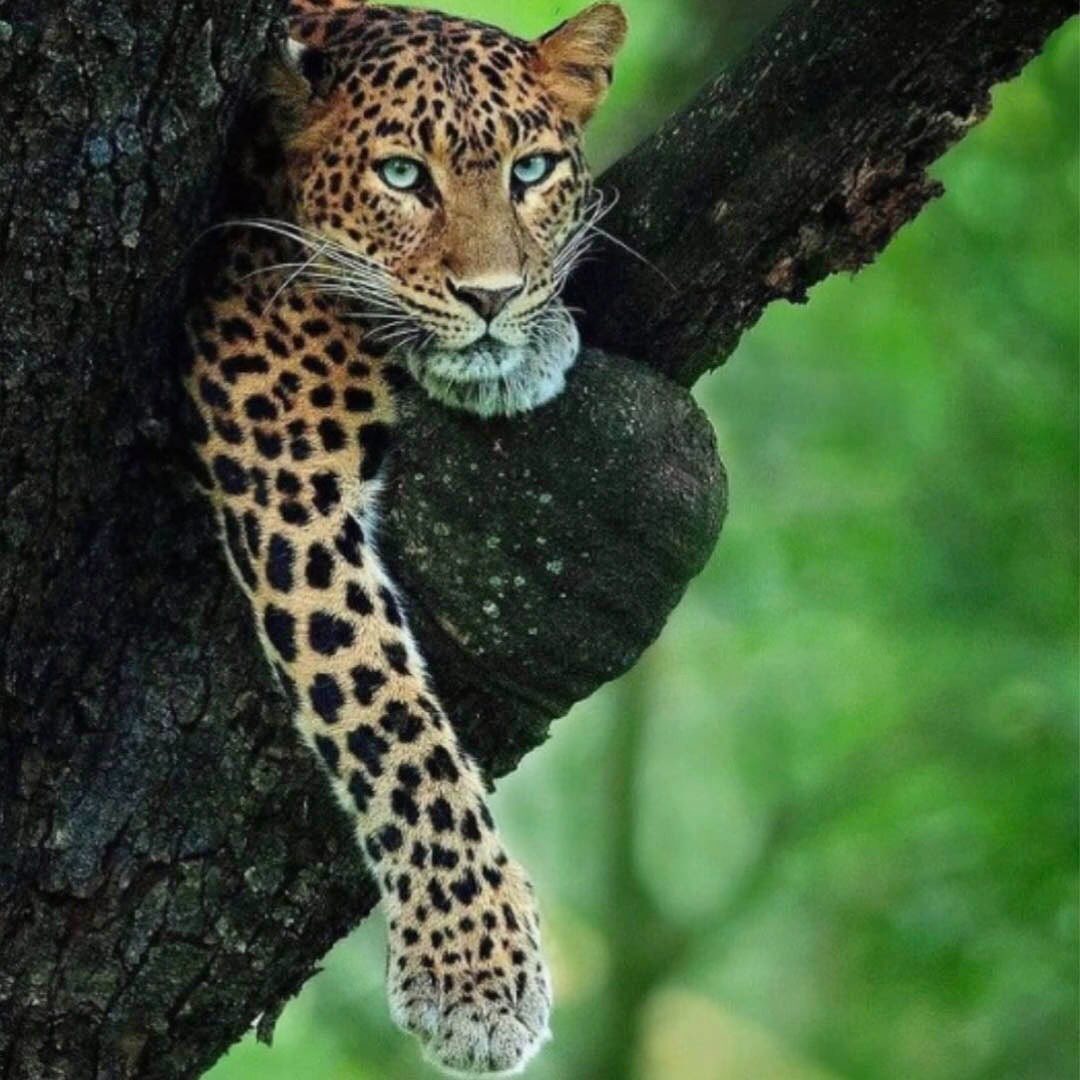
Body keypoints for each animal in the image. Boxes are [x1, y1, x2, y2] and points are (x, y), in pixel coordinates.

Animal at [182, 1, 627, 1075]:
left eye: (529, 172)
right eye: (399, 177)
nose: (493, 298)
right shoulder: (283, 464)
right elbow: (384, 711)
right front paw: (475, 972)